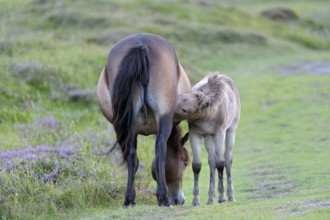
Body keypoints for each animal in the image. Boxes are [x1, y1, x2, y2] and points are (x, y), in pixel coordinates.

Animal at [96, 32, 191, 206]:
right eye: (185, 162)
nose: (179, 199)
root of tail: (141, 45)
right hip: (164, 117)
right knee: (160, 148)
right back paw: (163, 197)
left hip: (125, 125)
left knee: (131, 155)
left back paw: (129, 198)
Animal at [175, 72, 240, 206]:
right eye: (181, 96)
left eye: (185, 109)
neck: (210, 114)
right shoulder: (194, 135)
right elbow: (197, 165)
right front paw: (195, 200)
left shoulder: (220, 134)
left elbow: (221, 163)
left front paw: (222, 197)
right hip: (208, 138)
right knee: (211, 161)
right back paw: (210, 199)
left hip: (231, 130)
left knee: (227, 159)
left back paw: (230, 196)